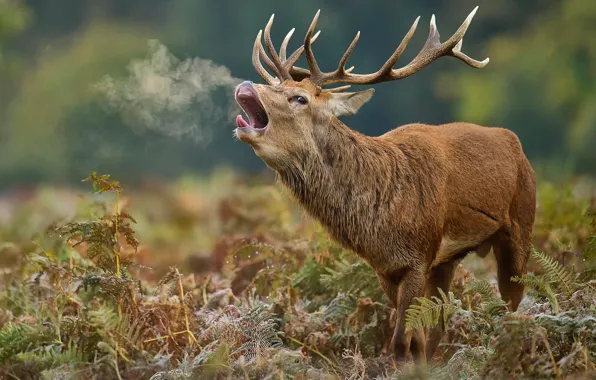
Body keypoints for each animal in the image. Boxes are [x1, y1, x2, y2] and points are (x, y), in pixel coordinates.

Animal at [232, 5, 536, 362]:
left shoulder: (418, 257)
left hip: (521, 226)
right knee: (441, 324)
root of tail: (515, 142)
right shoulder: (384, 268)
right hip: (447, 260)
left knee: (513, 304)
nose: (246, 85)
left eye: (300, 98)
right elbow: (414, 338)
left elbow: (401, 341)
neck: (380, 224)